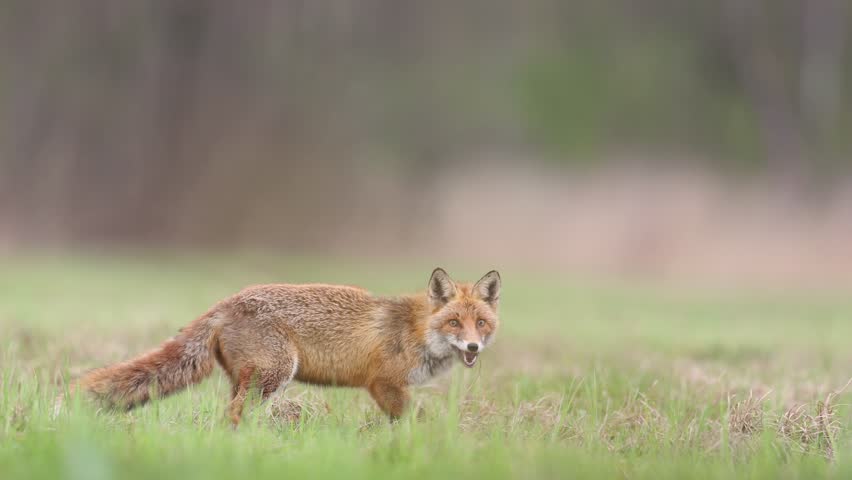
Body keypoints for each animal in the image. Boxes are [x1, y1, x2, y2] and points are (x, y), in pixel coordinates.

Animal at [63, 268, 501, 425]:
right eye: (453, 322)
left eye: (480, 323)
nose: (473, 347)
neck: (417, 330)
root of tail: (227, 302)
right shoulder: (384, 383)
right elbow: (413, 420)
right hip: (274, 373)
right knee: (236, 414)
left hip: (247, 379)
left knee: (228, 413)